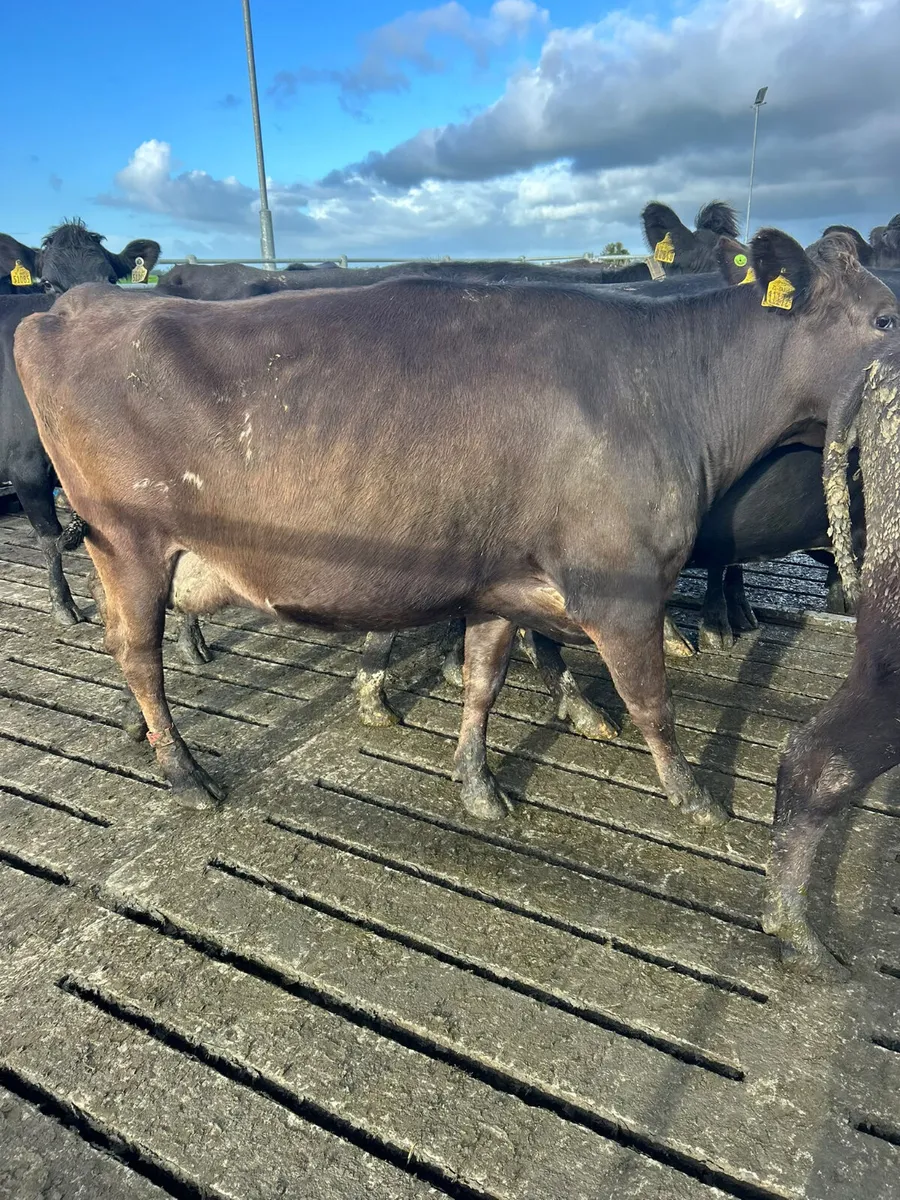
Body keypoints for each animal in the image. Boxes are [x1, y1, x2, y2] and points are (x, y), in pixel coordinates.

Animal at [15, 229, 897, 824]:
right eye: (887, 318)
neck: (666, 384)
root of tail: (71, 308)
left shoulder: (501, 581)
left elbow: (484, 680)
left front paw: (476, 782)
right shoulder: (623, 582)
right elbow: (652, 701)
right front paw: (695, 797)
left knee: (133, 648)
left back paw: (141, 736)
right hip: (129, 540)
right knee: (137, 650)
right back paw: (185, 773)